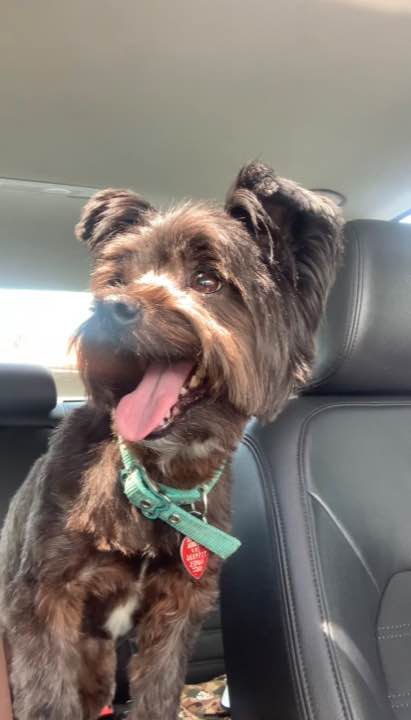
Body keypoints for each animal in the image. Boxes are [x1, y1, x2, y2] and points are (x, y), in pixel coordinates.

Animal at [0, 162, 343, 719]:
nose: (109, 310)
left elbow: (158, 693)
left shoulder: (177, 610)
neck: (156, 483)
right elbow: (48, 700)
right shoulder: (42, 604)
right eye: (116, 279)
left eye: (207, 280)